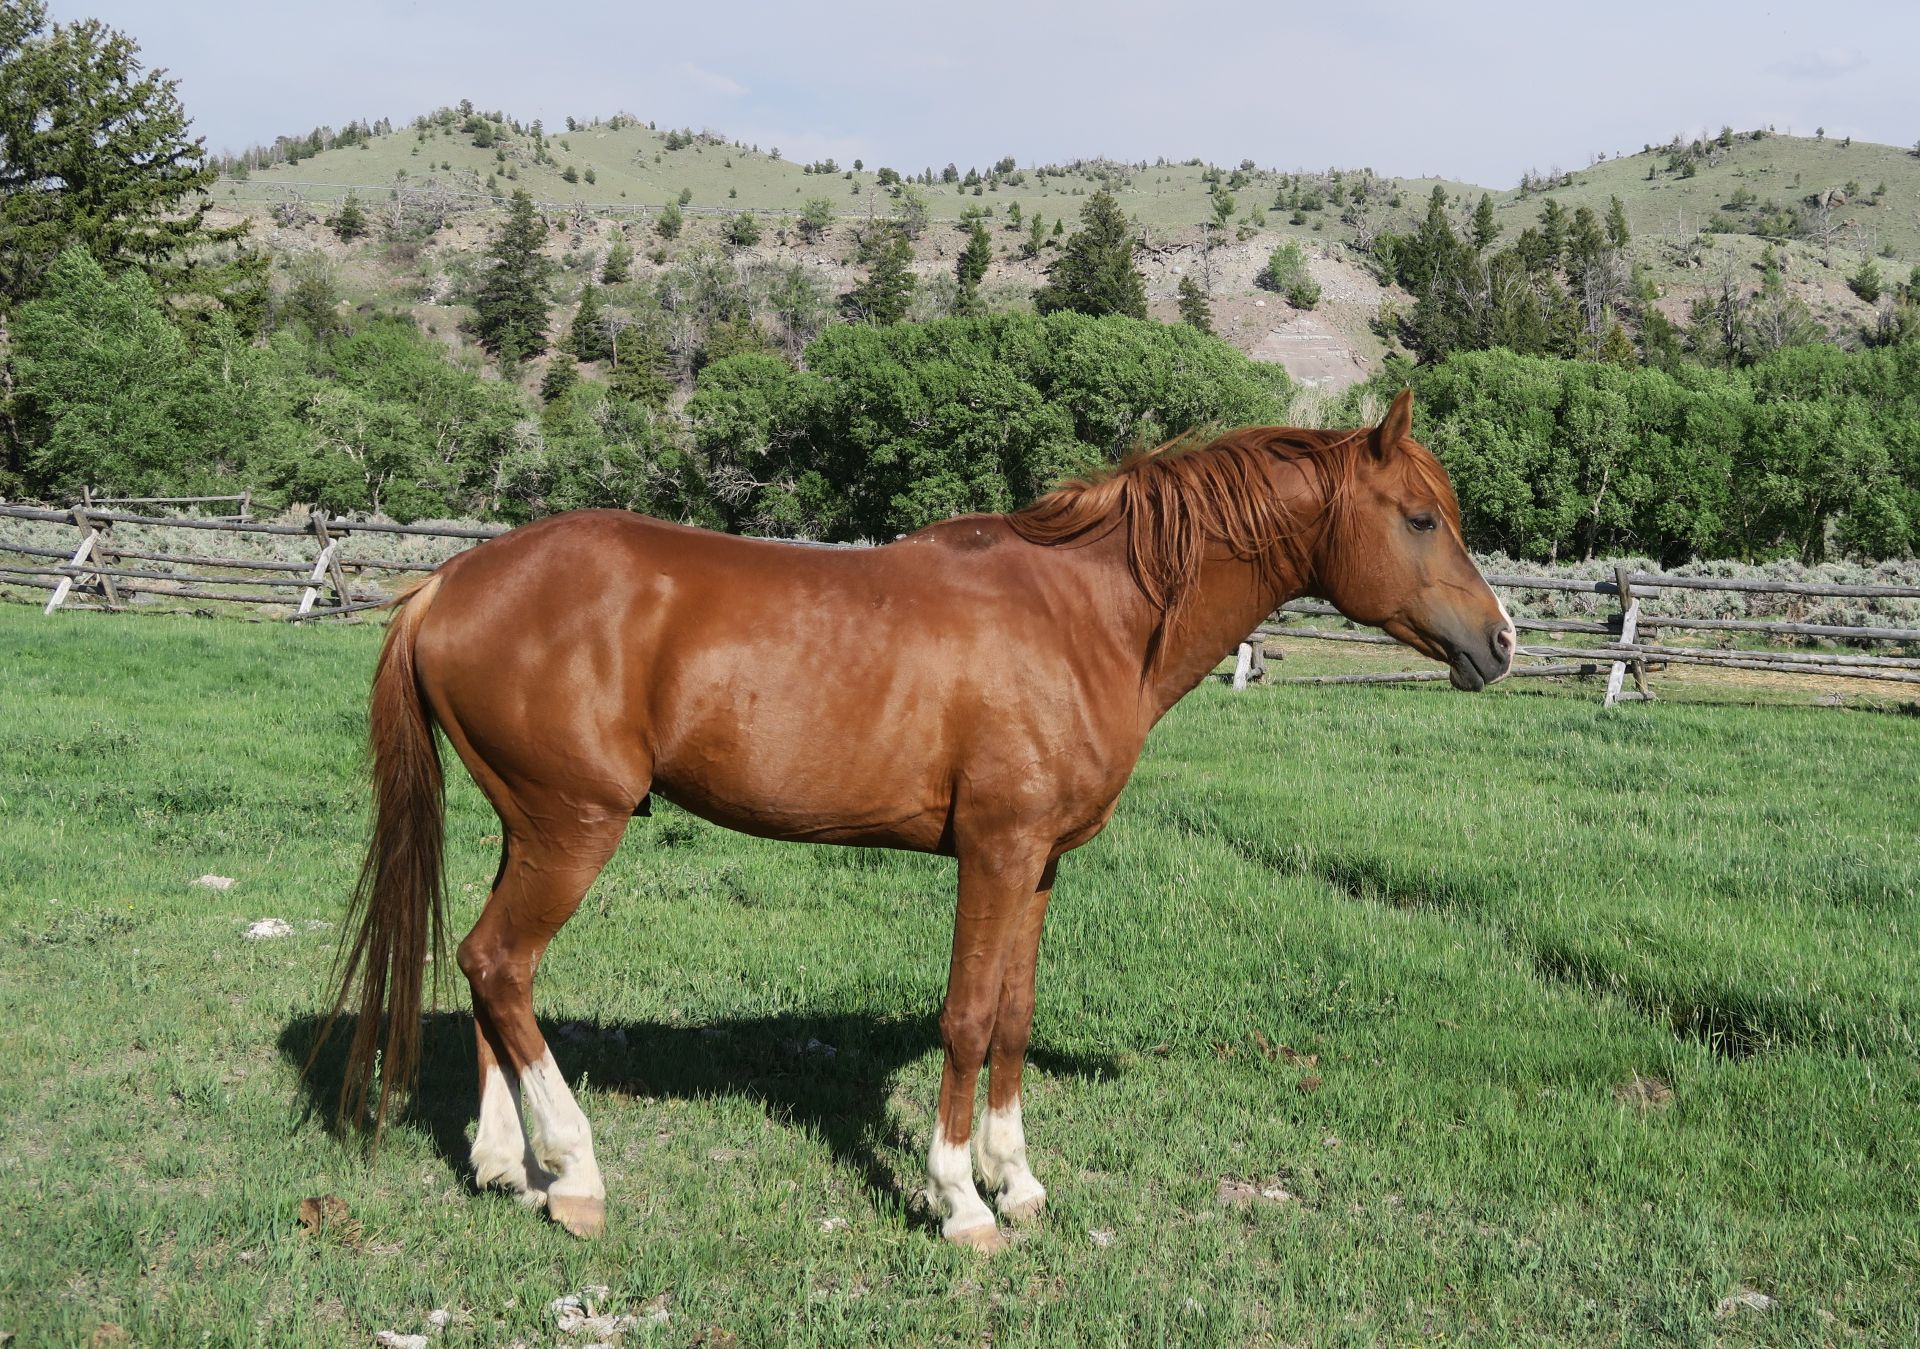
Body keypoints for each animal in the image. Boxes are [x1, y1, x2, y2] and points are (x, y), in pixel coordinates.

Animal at [323, 388, 1515, 1250]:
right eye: (1420, 518)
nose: (1499, 642)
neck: (1084, 614)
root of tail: (449, 582)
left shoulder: (1039, 864)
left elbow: (1015, 1016)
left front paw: (1017, 1178)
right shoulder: (993, 852)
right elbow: (967, 1018)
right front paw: (961, 1200)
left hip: (532, 826)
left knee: (487, 971)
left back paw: (505, 1163)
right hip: (575, 828)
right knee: (502, 962)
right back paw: (574, 1173)